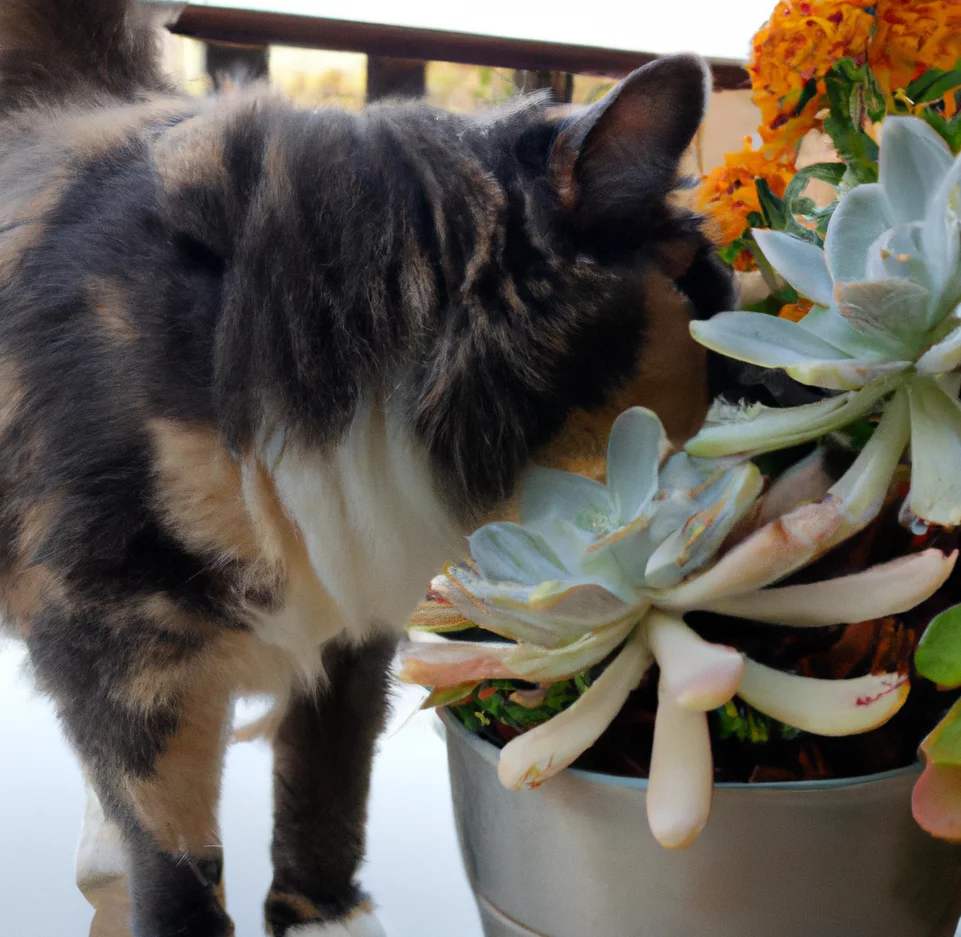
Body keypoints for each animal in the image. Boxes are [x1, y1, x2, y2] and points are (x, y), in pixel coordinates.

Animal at [0, 1, 728, 936]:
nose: (773, 394)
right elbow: (174, 849)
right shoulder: (119, 637)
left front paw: (324, 914)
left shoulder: (351, 609)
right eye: (716, 311)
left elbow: (326, 781)